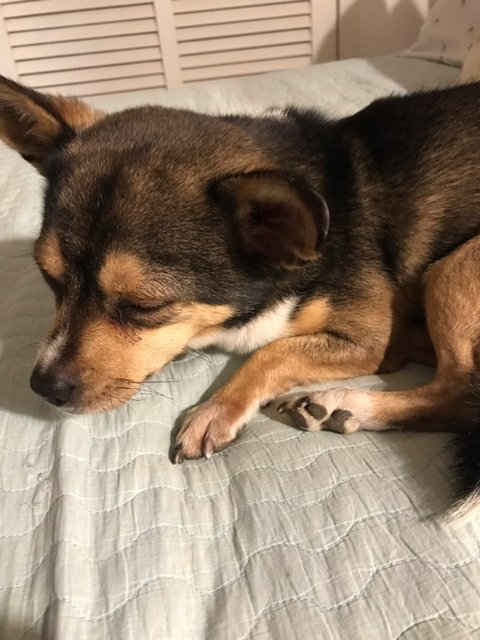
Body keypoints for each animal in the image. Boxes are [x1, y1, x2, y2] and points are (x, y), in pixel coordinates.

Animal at [1, 75, 480, 515]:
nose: (44, 387)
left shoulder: (372, 340)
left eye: (144, 306)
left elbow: (271, 352)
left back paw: (348, 401)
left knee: (458, 391)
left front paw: (217, 409)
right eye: (50, 280)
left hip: (452, 268)